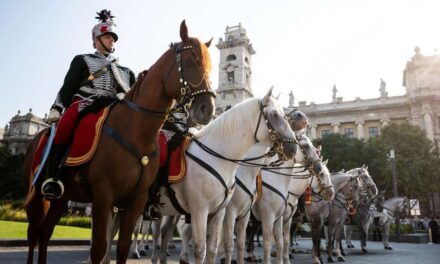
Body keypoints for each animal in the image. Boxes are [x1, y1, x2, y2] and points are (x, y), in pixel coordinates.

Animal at [23, 21, 216, 264]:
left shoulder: (136, 201)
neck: (137, 132)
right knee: (34, 233)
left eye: (210, 66)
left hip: (62, 197)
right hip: (38, 195)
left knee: (45, 232)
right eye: (190, 61)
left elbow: (123, 246)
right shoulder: (103, 196)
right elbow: (99, 247)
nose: (207, 109)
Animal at [150, 88, 298, 264]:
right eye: (275, 114)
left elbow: (215, 248)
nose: (293, 148)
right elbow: (203, 249)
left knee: (165, 233)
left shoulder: (222, 213)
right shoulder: (202, 211)